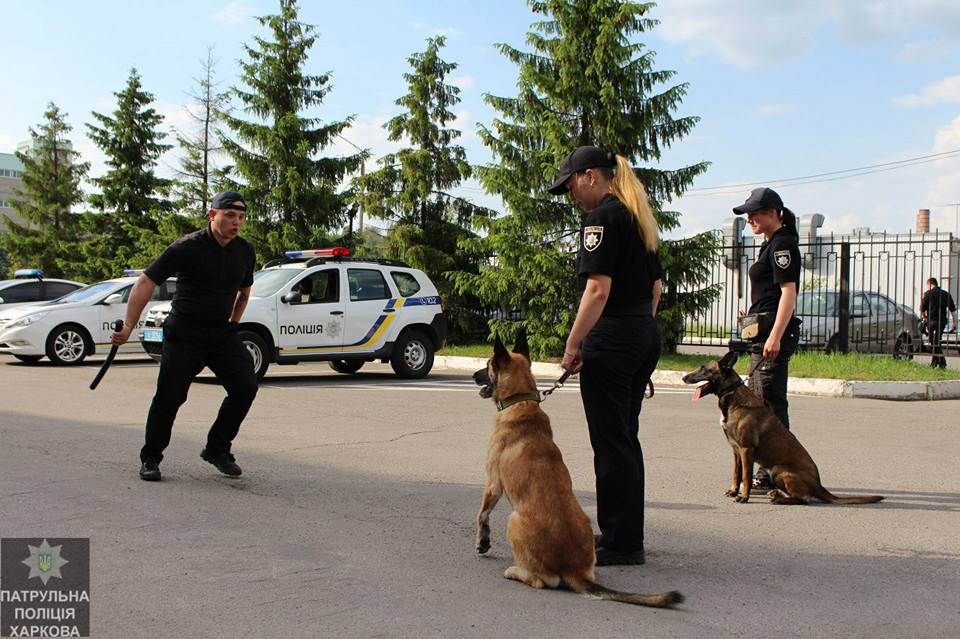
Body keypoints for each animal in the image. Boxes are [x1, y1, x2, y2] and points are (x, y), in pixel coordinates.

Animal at [472, 332, 684, 608]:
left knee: (541, 582)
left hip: (514, 520)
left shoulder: (493, 484)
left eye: (487, 365)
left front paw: (482, 542)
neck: (521, 401)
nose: (473, 376)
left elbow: (482, 515)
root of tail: (572, 570)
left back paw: (516, 571)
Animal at [684, 352, 884, 508]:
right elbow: (736, 474)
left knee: (805, 498)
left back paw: (779, 499)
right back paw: (776, 494)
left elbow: (746, 477)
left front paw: (744, 497)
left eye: (704, 369)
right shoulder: (735, 451)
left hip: (779, 470)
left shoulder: (746, 450)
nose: (684, 378)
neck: (733, 399)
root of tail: (819, 485)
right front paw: (734, 491)